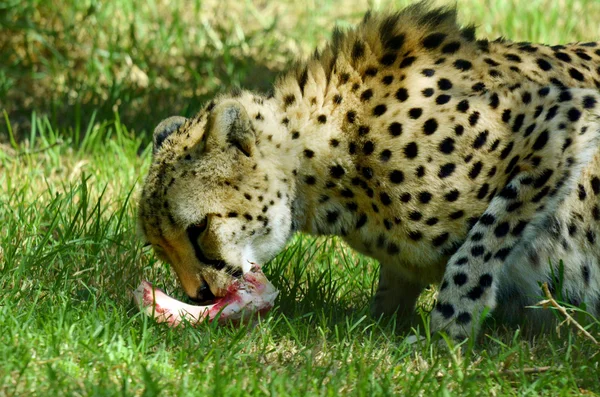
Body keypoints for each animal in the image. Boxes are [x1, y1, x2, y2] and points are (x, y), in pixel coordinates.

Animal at [138, 1, 600, 338]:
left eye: (198, 229)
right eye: (159, 247)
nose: (199, 294)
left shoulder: (567, 116)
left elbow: (481, 244)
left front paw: (448, 331)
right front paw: (379, 329)